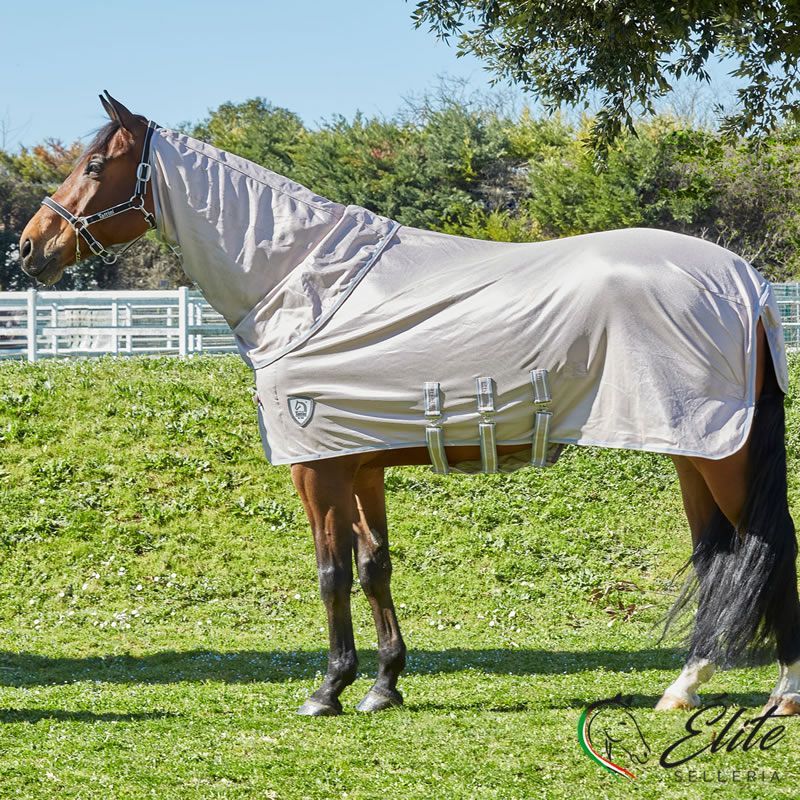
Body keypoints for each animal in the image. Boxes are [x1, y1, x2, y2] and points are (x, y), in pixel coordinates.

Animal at [19, 92, 800, 717]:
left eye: (95, 165)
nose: (29, 248)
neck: (305, 283)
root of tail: (749, 283)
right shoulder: (359, 463)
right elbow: (374, 567)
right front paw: (384, 684)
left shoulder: (318, 469)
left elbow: (331, 573)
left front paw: (328, 689)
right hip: (690, 450)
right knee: (718, 551)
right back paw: (683, 688)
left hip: (720, 455)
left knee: (774, 546)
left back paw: (782, 694)